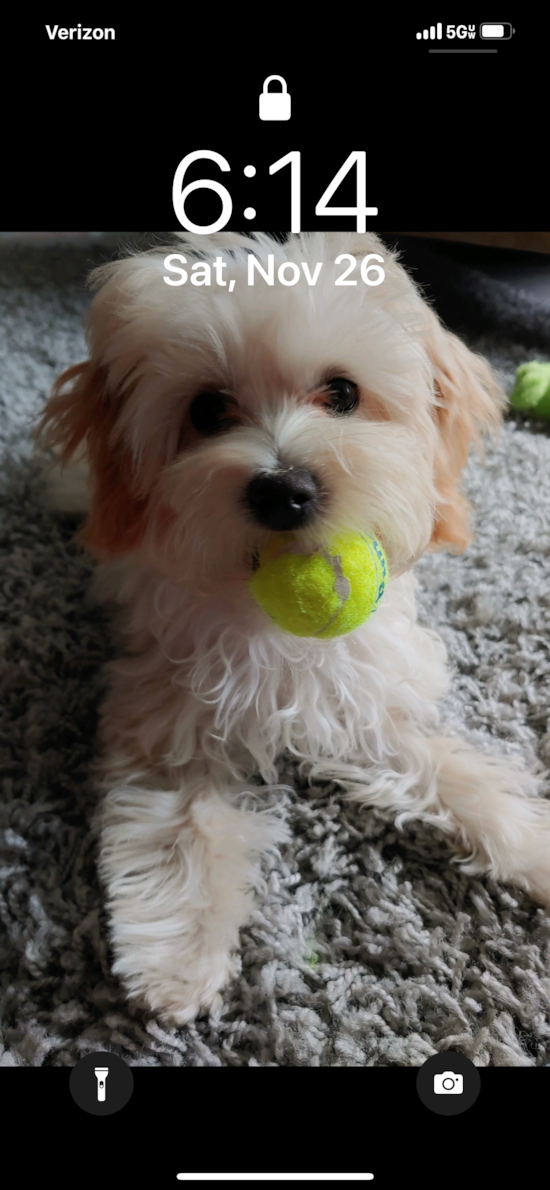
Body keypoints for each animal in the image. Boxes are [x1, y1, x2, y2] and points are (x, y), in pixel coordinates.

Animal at [37, 229, 550, 1023]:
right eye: (207, 410)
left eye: (341, 393)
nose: (284, 490)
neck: (267, 616)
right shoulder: (168, 723)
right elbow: (178, 832)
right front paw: (179, 963)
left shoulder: (366, 696)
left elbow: (447, 767)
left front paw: (526, 837)